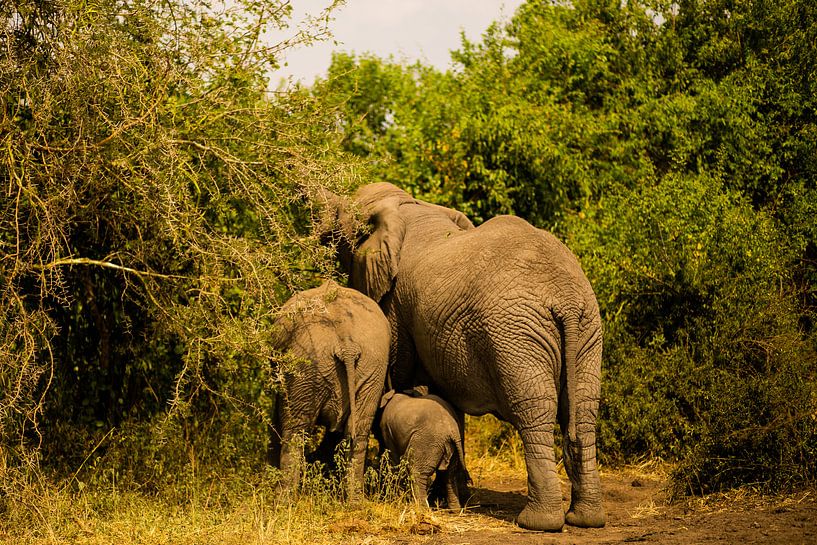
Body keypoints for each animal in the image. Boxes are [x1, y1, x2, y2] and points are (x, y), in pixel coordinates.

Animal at [270, 280, 390, 498]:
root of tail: (347, 343)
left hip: (307, 363)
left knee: (295, 428)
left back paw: (283, 500)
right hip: (374, 363)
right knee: (359, 430)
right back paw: (355, 501)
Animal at [318, 184, 604, 532]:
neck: (408, 207)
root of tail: (565, 300)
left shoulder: (397, 306)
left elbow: (401, 379)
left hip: (516, 335)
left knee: (535, 410)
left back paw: (537, 523)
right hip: (587, 328)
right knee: (583, 409)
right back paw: (585, 519)